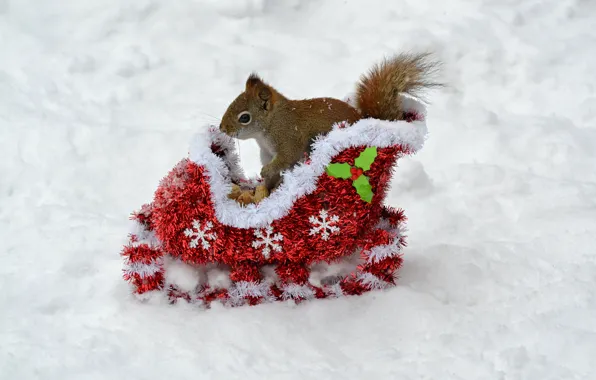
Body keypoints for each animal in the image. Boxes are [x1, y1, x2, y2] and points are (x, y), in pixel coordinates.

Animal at [221, 52, 440, 191]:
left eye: (244, 117)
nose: (222, 128)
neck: (272, 123)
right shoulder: (266, 153)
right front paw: (266, 184)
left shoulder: (289, 137)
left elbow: (286, 157)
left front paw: (265, 171)